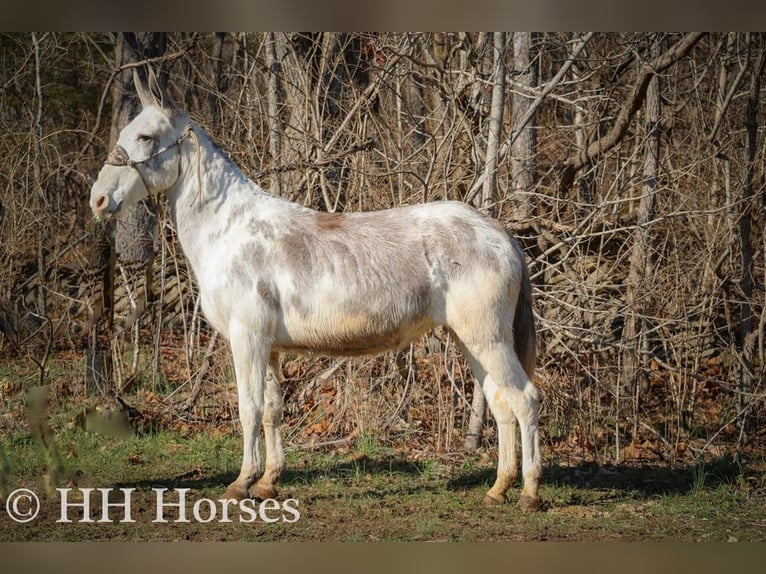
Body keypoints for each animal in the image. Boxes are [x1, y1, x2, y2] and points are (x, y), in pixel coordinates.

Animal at [88, 68, 544, 512]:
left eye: (145, 137)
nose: (98, 200)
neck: (230, 231)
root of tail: (500, 233)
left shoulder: (247, 338)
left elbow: (249, 409)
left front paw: (241, 483)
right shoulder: (269, 347)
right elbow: (272, 410)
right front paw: (268, 482)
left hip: (488, 339)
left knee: (524, 399)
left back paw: (528, 492)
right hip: (471, 339)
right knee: (500, 403)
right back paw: (498, 489)